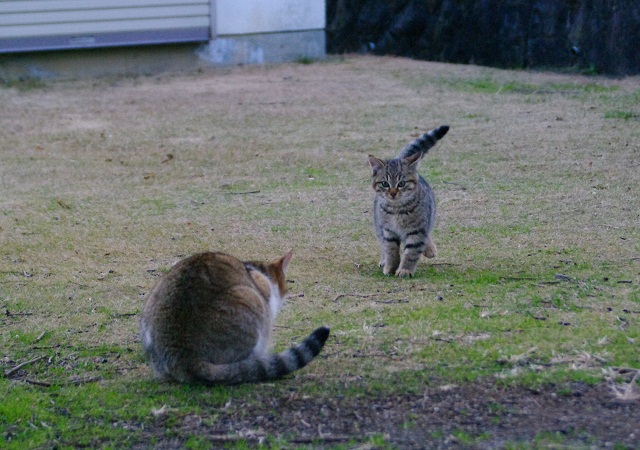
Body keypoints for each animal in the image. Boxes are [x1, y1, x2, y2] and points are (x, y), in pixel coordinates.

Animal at [364, 125, 450, 276]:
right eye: (385, 184)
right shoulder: (388, 231)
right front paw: (391, 266)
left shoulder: (417, 230)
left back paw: (429, 249)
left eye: (402, 183)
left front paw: (405, 269)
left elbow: (411, 252)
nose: (393, 193)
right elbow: (391, 250)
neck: (396, 209)